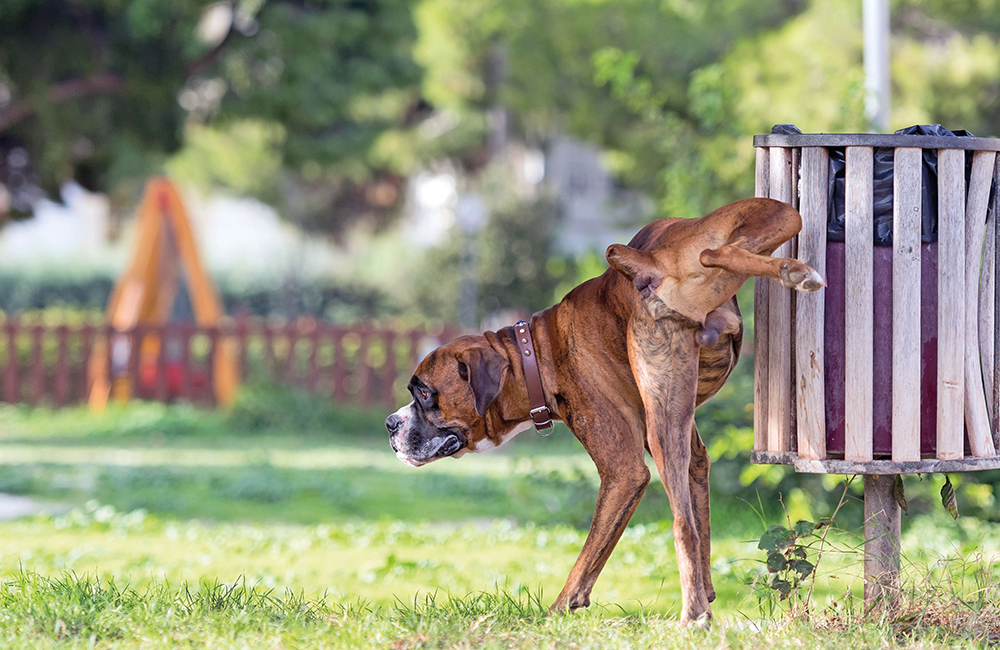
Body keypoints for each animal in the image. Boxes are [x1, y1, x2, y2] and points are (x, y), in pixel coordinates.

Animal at [382, 196, 820, 624]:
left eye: (424, 393)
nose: (390, 423)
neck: (536, 353)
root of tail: (648, 262)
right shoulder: (692, 452)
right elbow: (702, 517)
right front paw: (708, 591)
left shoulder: (623, 472)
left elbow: (589, 556)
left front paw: (556, 611)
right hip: (776, 217)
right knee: (718, 251)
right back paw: (792, 271)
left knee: (681, 526)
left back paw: (692, 614)